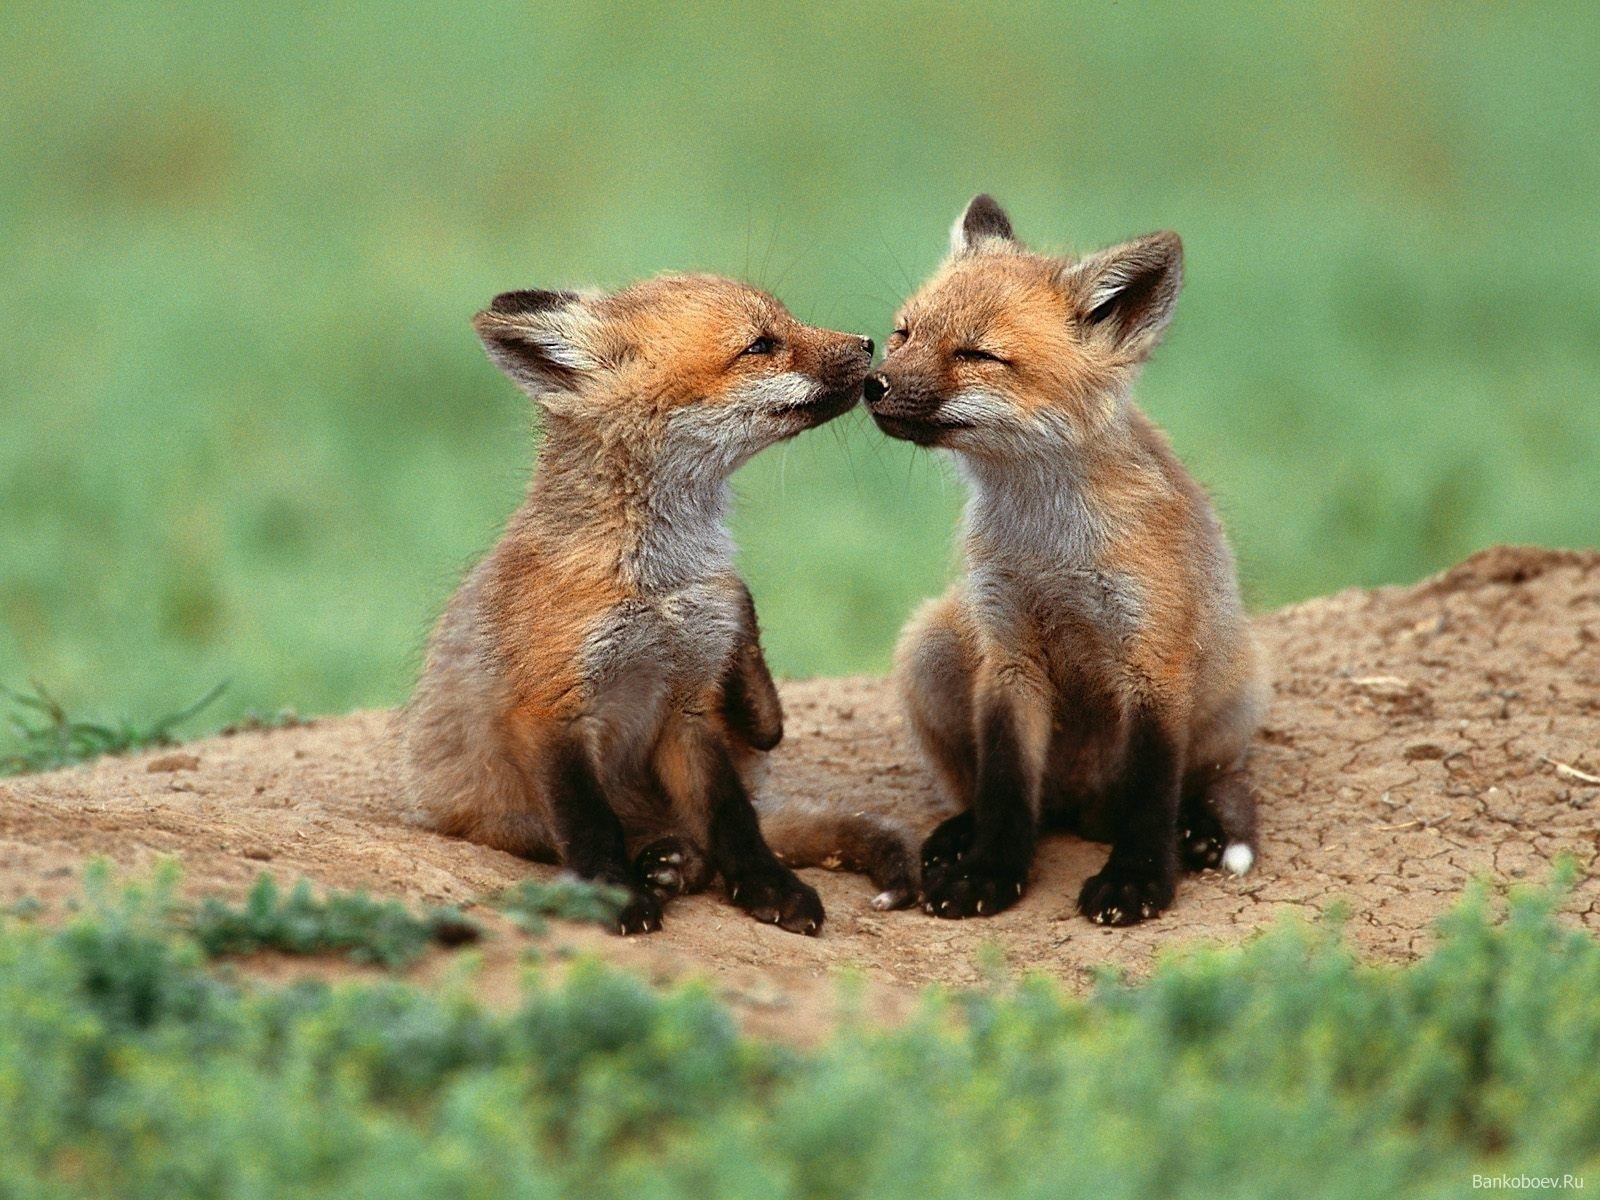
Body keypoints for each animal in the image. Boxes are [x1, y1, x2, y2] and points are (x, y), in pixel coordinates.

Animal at [403, 273, 912, 935]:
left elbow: (733, 819)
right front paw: (615, 897)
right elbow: (591, 826)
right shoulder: (549, 710)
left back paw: (677, 863)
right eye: (760, 345)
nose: (869, 343)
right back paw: (662, 865)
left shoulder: (689, 703)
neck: (660, 585)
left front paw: (769, 887)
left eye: (786, 321)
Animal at [864, 195, 1267, 926]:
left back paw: (1193, 828)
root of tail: (1081, 806)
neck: (1047, 544)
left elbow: (1149, 795)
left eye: (977, 354)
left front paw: (1137, 882)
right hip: (929, 644)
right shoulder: (1007, 648)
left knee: (1194, 784)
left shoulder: (1154, 660)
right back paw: (961, 833)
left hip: (1236, 691)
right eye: (903, 333)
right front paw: (990, 871)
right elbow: (1004, 788)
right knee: (1021, 803)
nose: (871, 383)